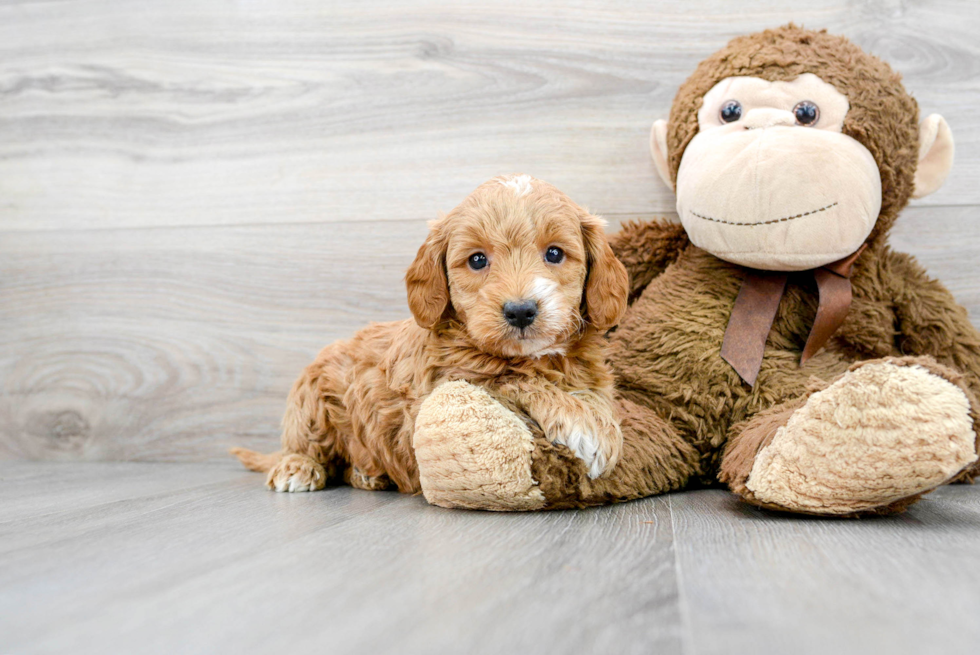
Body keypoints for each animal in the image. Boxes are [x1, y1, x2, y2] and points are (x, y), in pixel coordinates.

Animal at [232, 174, 628, 492]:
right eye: (477, 260)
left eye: (555, 253)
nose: (520, 311)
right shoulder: (442, 386)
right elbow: (513, 377)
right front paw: (585, 426)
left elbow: (594, 394)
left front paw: (598, 417)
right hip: (311, 401)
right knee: (306, 445)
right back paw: (297, 467)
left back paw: (366, 475)